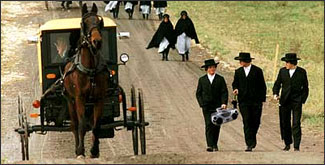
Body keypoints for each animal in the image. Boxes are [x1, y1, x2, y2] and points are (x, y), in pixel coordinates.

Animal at [63, 2, 107, 159]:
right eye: (85, 23)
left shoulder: (99, 98)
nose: (97, 41)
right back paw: (77, 148)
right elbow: (81, 125)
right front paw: (81, 151)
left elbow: (96, 125)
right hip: (70, 101)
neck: (90, 70)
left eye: (99, 22)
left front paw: (94, 150)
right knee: (75, 125)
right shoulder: (79, 98)